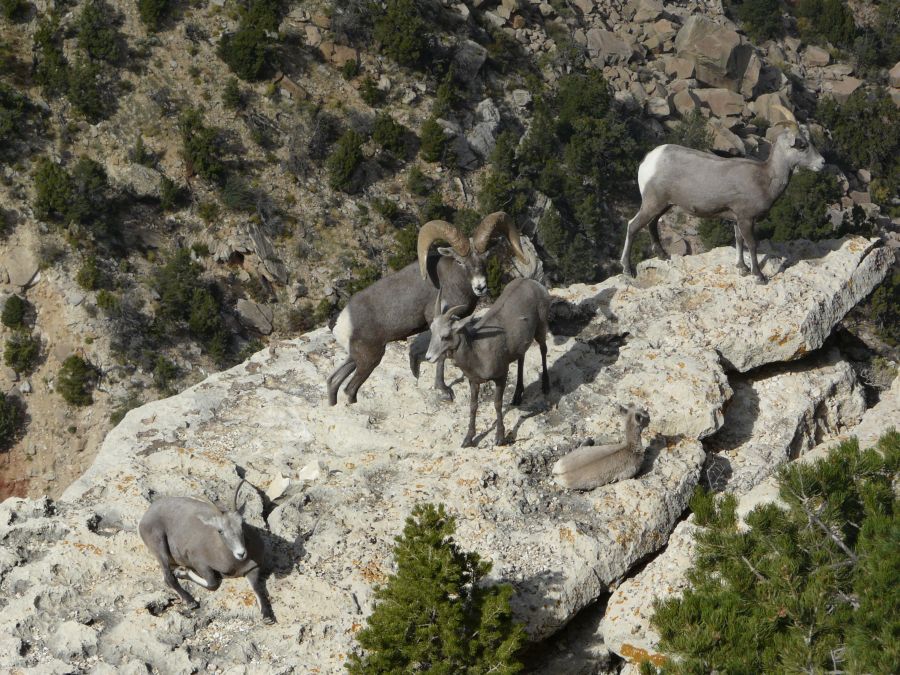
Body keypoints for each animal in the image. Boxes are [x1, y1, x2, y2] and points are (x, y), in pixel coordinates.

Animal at [138, 478, 274, 624]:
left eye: (242, 526)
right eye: (220, 531)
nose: (241, 553)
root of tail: (147, 514)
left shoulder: (252, 569)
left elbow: (257, 589)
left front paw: (267, 616)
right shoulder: (200, 563)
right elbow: (212, 584)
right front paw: (183, 572)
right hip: (159, 545)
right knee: (168, 577)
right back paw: (190, 601)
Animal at [328, 211, 528, 404]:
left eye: (486, 257)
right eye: (460, 261)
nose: (480, 287)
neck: (452, 281)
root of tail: (341, 322)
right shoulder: (437, 322)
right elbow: (440, 357)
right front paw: (444, 389)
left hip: (355, 358)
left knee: (334, 381)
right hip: (369, 359)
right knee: (350, 389)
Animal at [426, 278, 552, 446]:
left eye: (445, 336)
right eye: (432, 330)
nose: (428, 357)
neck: (477, 352)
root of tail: (534, 283)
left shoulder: (501, 377)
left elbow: (497, 404)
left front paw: (499, 437)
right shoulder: (473, 381)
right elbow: (473, 406)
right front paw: (468, 439)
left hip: (541, 328)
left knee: (543, 349)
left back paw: (545, 385)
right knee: (522, 358)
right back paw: (517, 396)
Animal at [624, 105, 828, 282]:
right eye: (801, 145)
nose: (822, 163)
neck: (765, 177)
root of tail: (650, 160)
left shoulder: (736, 219)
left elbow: (738, 241)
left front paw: (742, 268)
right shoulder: (746, 219)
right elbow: (751, 244)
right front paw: (758, 276)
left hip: (663, 205)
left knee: (651, 225)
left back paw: (663, 256)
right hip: (652, 203)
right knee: (633, 226)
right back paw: (627, 270)